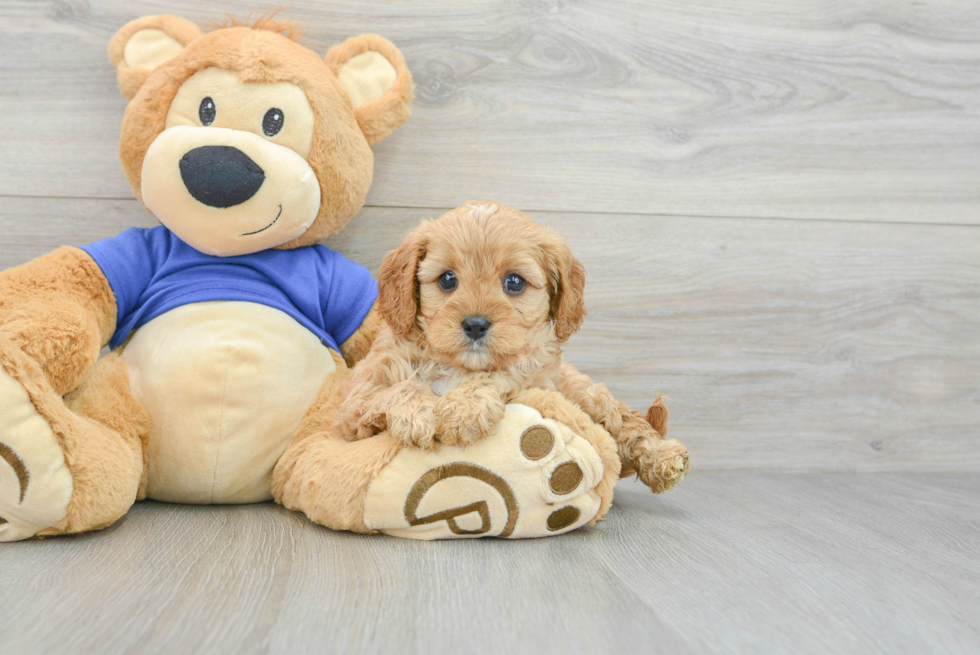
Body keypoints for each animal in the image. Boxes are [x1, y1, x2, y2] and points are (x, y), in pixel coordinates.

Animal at [336, 200, 688, 492]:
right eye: (447, 279)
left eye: (514, 282)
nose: (475, 325)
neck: (457, 365)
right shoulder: (352, 409)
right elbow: (396, 389)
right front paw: (417, 415)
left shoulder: (535, 373)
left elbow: (503, 372)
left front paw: (464, 408)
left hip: (586, 394)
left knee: (628, 424)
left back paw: (664, 459)